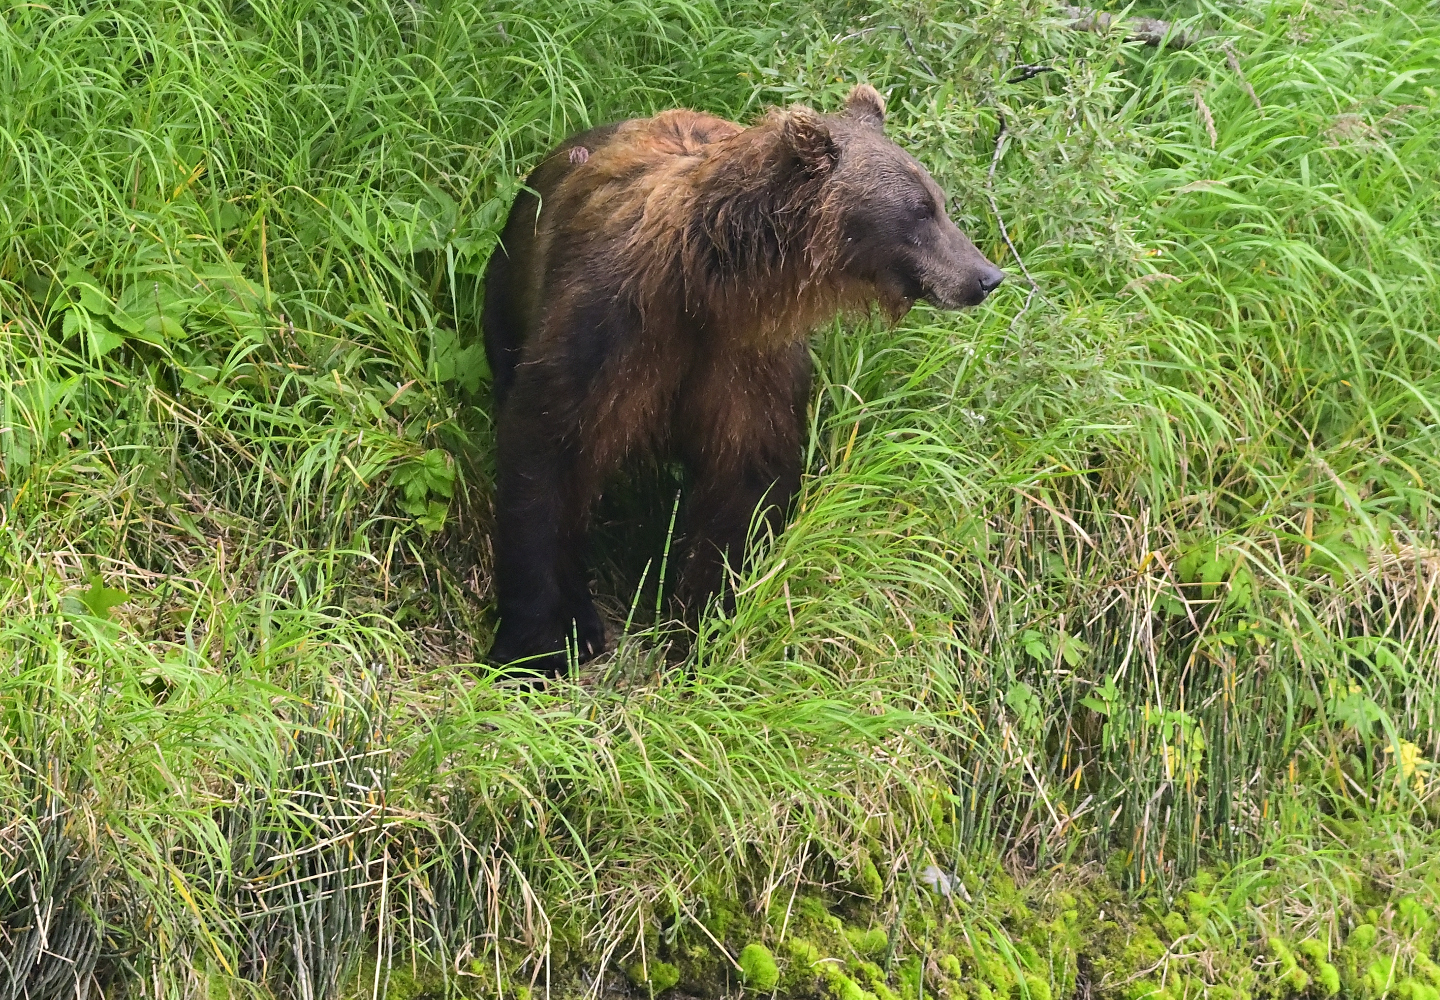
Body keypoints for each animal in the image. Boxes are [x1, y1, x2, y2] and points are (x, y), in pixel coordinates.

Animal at [480, 84, 1002, 674]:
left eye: (938, 202)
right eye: (920, 211)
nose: (986, 276)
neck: (709, 286)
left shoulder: (745, 360)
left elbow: (748, 478)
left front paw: (705, 616)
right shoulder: (613, 327)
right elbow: (548, 450)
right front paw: (547, 640)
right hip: (508, 292)